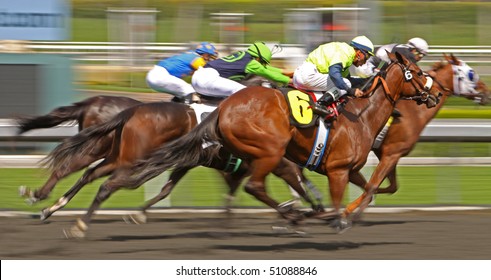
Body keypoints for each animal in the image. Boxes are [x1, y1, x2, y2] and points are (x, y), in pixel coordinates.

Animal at [61, 51, 442, 237]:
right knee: (255, 186)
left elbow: (368, 189)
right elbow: (330, 198)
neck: (359, 115)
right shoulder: (331, 168)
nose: (436, 93)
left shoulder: (346, 169)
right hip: (268, 151)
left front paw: (341, 214)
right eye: (420, 73)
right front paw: (329, 218)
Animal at [348, 53, 490, 197]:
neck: (413, 111)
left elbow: (391, 187)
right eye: (471, 74)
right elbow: (373, 185)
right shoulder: (392, 152)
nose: (487, 91)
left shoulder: (385, 153)